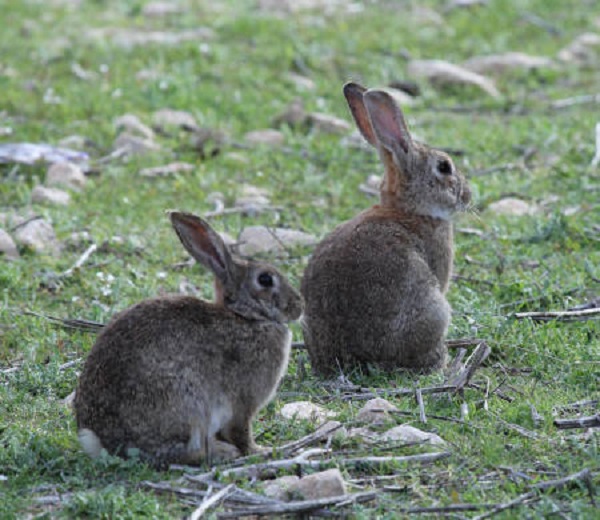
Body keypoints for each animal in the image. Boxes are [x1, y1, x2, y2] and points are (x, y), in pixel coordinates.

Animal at [73, 211, 302, 468]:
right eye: (265, 279)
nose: (299, 306)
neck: (246, 316)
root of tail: (101, 440)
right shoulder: (243, 403)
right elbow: (241, 432)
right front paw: (261, 450)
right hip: (186, 404)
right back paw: (222, 453)